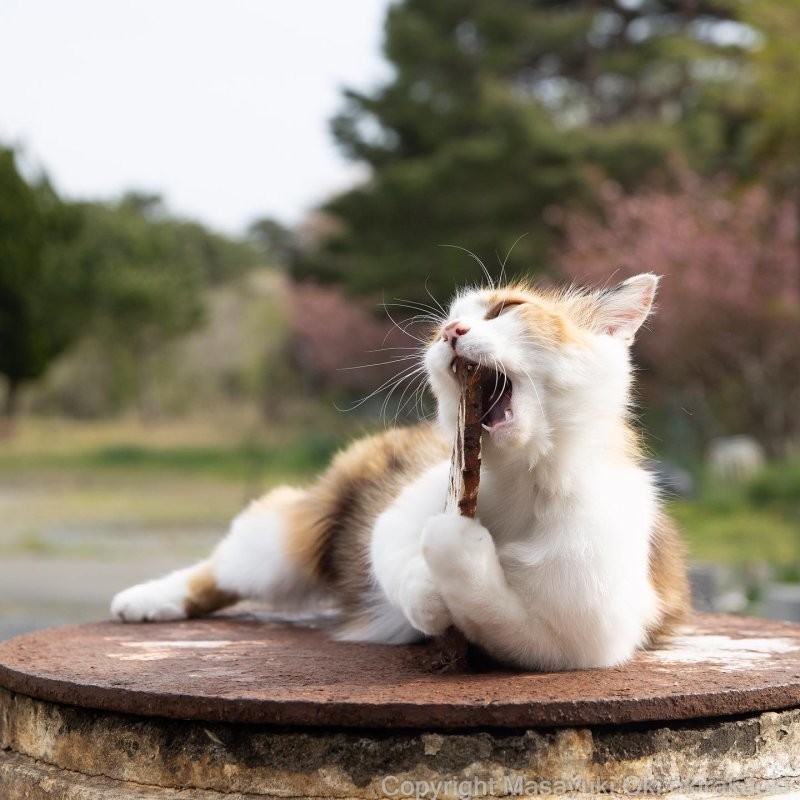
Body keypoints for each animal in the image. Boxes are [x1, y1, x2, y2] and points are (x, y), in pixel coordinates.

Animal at [111, 272, 688, 672]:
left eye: (508, 308)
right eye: (440, 326)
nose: (451, 330)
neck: (518, 478)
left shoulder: (587, 637)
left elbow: (498, 609)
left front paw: (456, 557)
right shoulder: (399, 513)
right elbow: (399, 560)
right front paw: (430, 600)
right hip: (290, 540)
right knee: (228, 565)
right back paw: (146, 600)